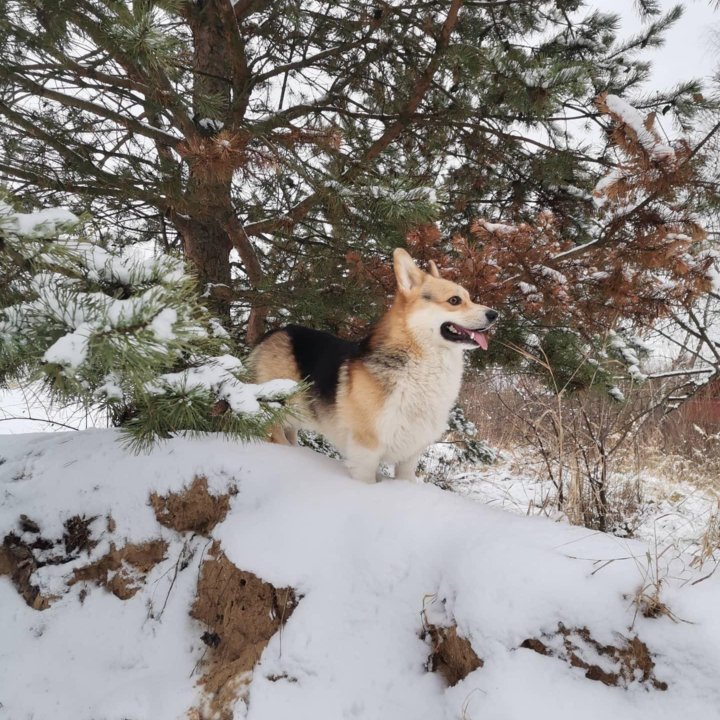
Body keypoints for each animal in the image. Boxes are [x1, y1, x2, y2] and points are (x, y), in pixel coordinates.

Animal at [249, 248, 496, 484]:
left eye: (470, 298)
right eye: (454, 300)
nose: (495, 314)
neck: (421, 364)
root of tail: (273, 333)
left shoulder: (409, 458)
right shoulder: (366, 452)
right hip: (276, 415)